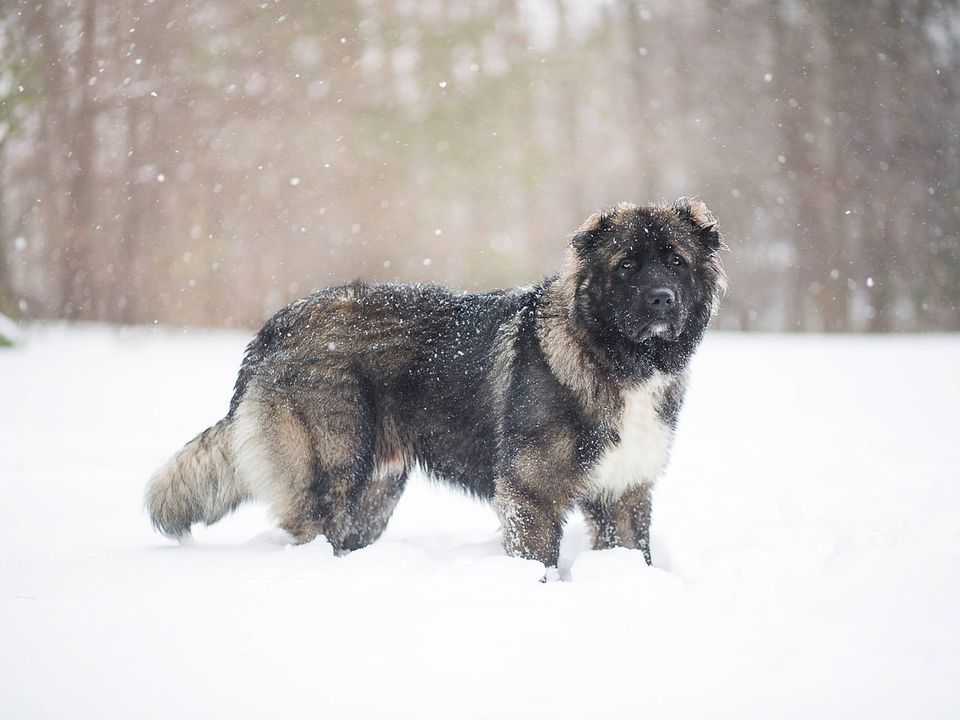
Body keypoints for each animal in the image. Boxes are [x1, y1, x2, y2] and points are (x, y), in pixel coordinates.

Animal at [144, 200, 728, 572]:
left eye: (676, 261)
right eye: (626, 265)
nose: (661, 299)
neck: (615, 358)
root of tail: (278, 325)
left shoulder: (624, 493)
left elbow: (635, 554)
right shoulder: (531, 495)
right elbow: (538, 561)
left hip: (376, 493)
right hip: (332, 473)